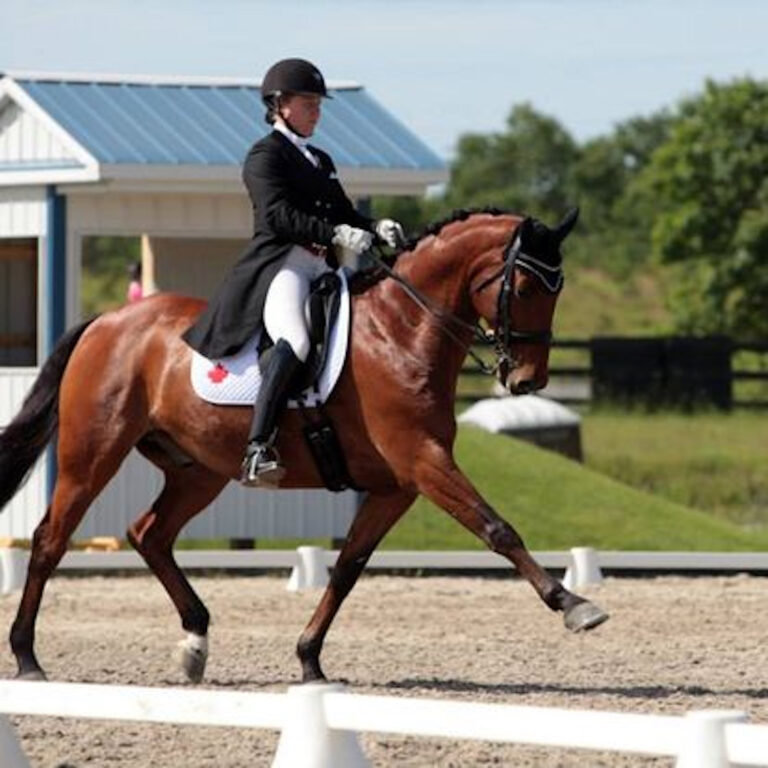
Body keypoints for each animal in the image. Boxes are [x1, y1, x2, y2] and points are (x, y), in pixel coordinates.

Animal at [0, 206, 608, 684]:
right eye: (524, 289)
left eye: (558, 290)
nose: (527, 380)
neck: (402, 331)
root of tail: (107, 320)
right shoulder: (424, 462)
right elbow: (497, 528)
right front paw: (573, 604)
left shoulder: (396, 486)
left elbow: (347, 568)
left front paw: (309, 658)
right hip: (93, 453)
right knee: (51, 539)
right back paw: (28, 657)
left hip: (199, 470)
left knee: (149, 533)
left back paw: (195, 642)